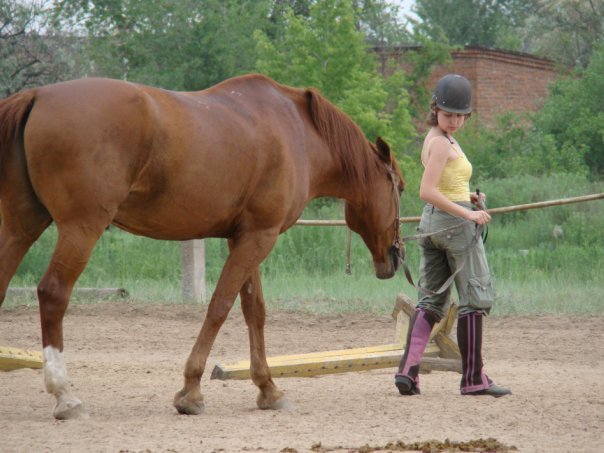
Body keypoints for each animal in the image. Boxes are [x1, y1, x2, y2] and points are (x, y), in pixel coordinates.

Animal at [0, 73, 406, 416]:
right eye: (399, 189)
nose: (396, 256)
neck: (298, 133)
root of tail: (37, 95)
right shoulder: (258, 238)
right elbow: (220, 306)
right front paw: (191, 391)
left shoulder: (246, 236)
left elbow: (254, 311)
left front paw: (268, 389)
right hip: (80, 228)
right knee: (53, 293)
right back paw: (65, 395)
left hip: (22, 226)